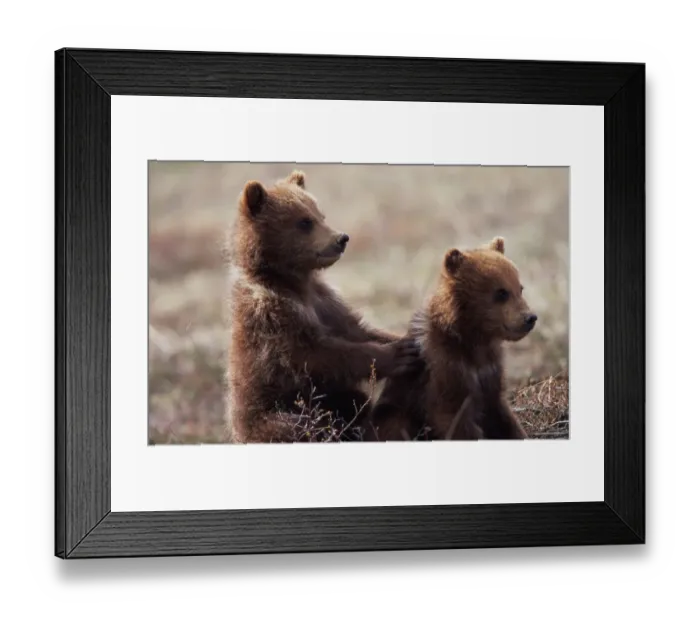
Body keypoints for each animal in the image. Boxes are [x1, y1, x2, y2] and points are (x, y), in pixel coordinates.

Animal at [226, 170, 421, 444]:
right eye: (304, 222)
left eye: (321, 215)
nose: (341, 238)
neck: (294, 282)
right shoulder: (272, 315)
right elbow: (314, 355)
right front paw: (396, 354)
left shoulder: (326, 304)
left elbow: (356, 329)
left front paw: (404, 338)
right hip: (273, 415)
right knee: (298, 425)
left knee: (352, 400)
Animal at [366, 236, 536, 442]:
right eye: (501, 292)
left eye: (520, 288)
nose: (530, 318)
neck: (474, 338)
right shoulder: (446, 371)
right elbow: (455, 419)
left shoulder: (490, 373)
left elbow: (502, 417)